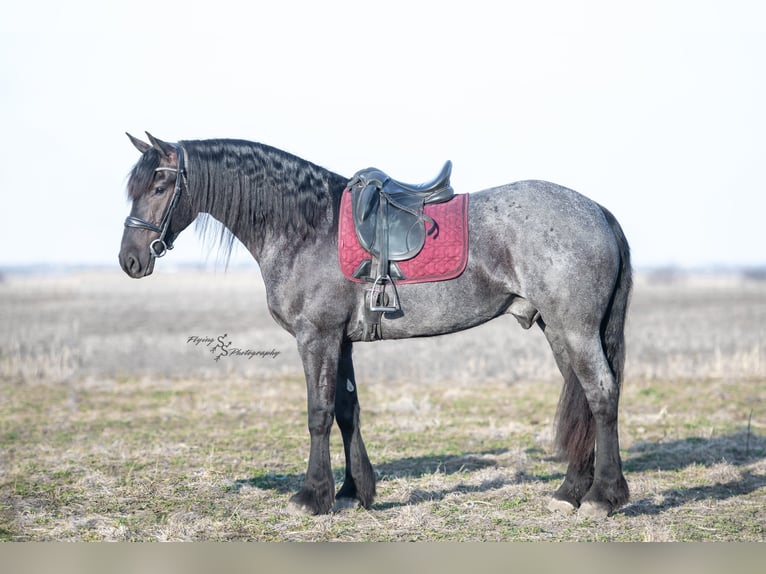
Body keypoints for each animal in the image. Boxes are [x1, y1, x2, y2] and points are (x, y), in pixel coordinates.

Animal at [118, 132, 632, 518]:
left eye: (160, 188)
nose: (130, 260)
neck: (309, 229)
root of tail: (597, 211)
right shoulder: (341, 342)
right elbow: (347, 411)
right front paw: (353, 492)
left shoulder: (317, 337)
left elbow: (319, 413)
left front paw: (312, 497)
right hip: (557, 330)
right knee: (582, 398)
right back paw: (569, 492)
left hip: (575, 328)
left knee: (601, 394)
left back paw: (603, 497)